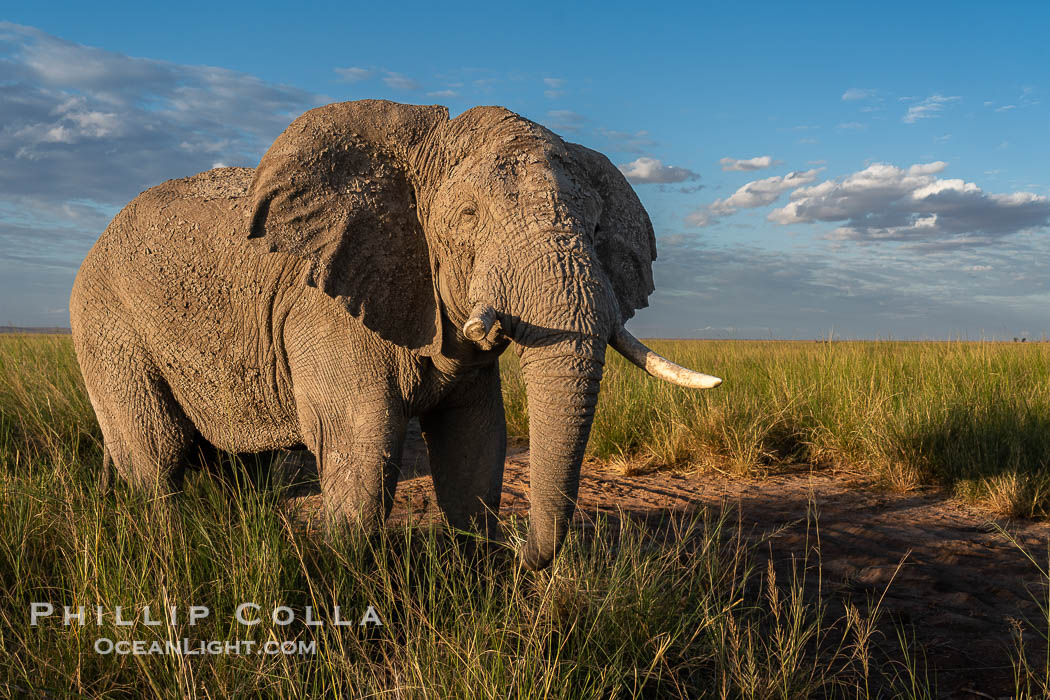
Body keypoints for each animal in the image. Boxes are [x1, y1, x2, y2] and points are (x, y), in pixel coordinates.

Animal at [70, 99, 720, 570]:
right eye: (467, 219)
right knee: (157, 454)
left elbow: (474, 443)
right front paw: (347, 582)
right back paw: (173, 551)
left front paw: (478, 572)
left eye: (595, 227)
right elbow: (363, 444)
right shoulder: (323, 309)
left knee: (242, 466)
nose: (525, 553)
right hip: (105, 320)